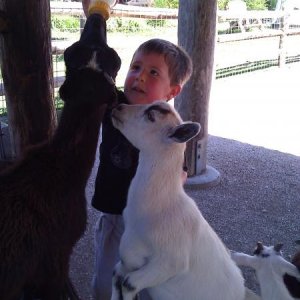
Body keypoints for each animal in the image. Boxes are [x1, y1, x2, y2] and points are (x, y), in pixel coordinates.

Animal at [110, 101, 246, 300]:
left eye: (151, 116)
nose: (118, 107)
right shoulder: (127, 260)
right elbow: (117, 277)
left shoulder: (170, 262)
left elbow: (129, 284)